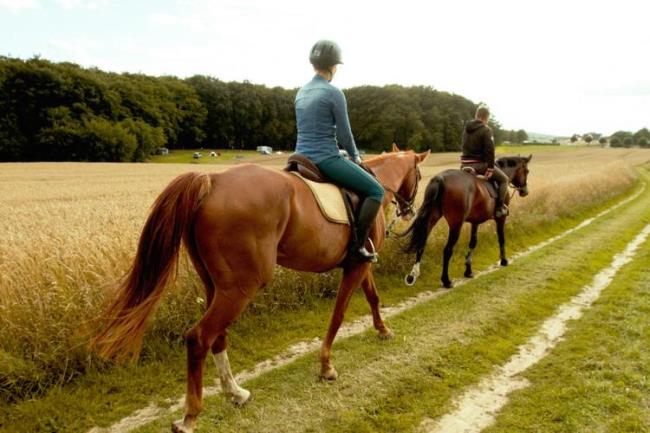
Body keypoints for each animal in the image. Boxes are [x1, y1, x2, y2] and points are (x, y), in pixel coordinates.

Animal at [90, 146, 426, 432]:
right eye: (420, 176)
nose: (409, 211)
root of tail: (212, 180)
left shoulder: (360, 264)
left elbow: (373, 297)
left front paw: (383, 330)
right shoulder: (356, 267)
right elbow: (339, 314)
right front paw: (326, 366)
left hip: (218, 286)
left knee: (216, 336)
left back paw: (235, 393)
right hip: (242, 287)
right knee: (199, 337)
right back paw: (190, 417)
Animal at [402, 154, 528, 288]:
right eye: (526, 171)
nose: (525, 191)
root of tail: (440, 178)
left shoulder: (475, 222)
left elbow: (473, 242)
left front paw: (468, 270)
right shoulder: (501, 219)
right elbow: (501, 238)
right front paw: (504, 260)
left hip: (431, 218)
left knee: (422, 243)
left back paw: (412, 275)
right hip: (456, 224)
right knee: (447, 250)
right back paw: (446, 280)